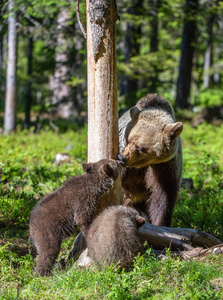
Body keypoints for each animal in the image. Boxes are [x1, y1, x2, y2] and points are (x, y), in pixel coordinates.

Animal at [118, 94, 183, 225]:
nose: (122, 157)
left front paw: (160, 222)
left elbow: (163, 195)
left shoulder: (165, 167)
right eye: (130, 139)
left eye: (140, 147)